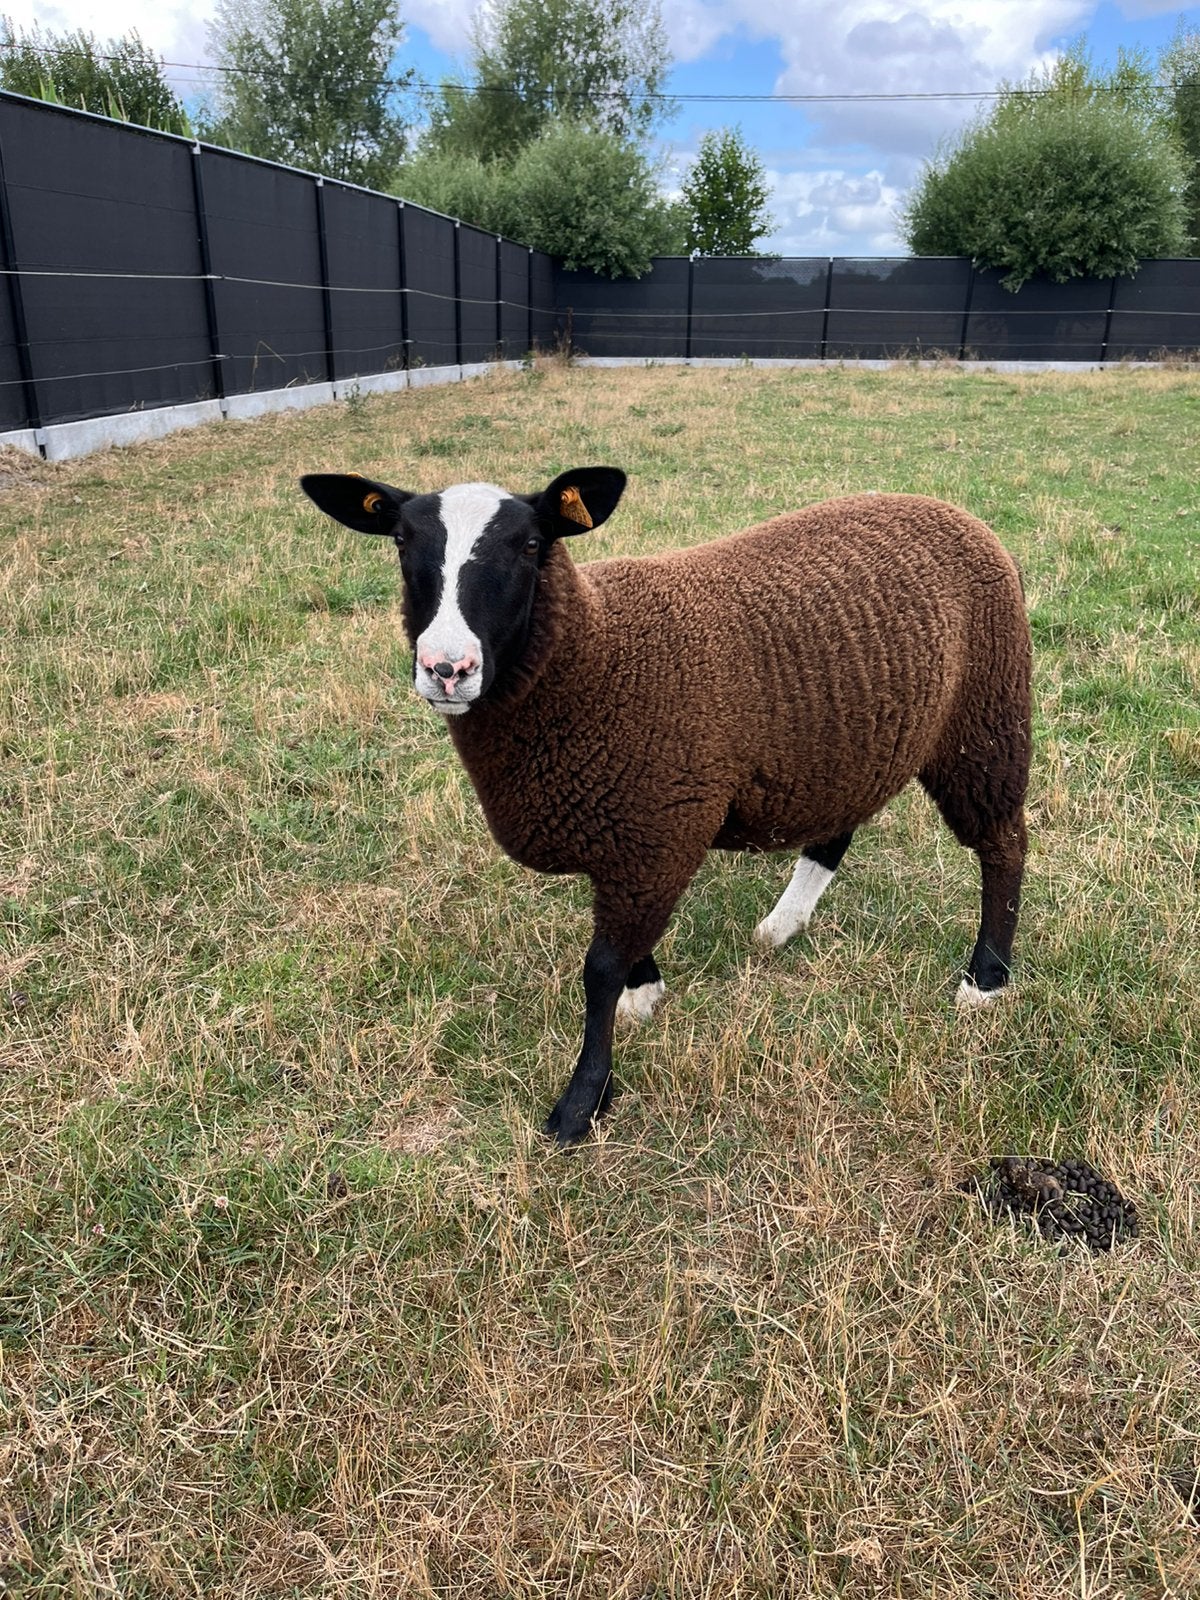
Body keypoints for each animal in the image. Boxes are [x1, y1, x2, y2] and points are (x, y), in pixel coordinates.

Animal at [299, 467, 1031, 1146]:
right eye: (400, 540)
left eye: (531, 543)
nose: (446, 670)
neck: (593, 656)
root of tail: (945, 507)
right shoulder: (628, 836)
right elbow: (620, 951)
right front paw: (643, 992)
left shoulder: (658, 832)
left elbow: (598, 970)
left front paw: (582, 1103)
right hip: (847, 743)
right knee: (834, 832)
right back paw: (782, 926)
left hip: (985, 720)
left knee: (1004, 844)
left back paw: (985, 979)